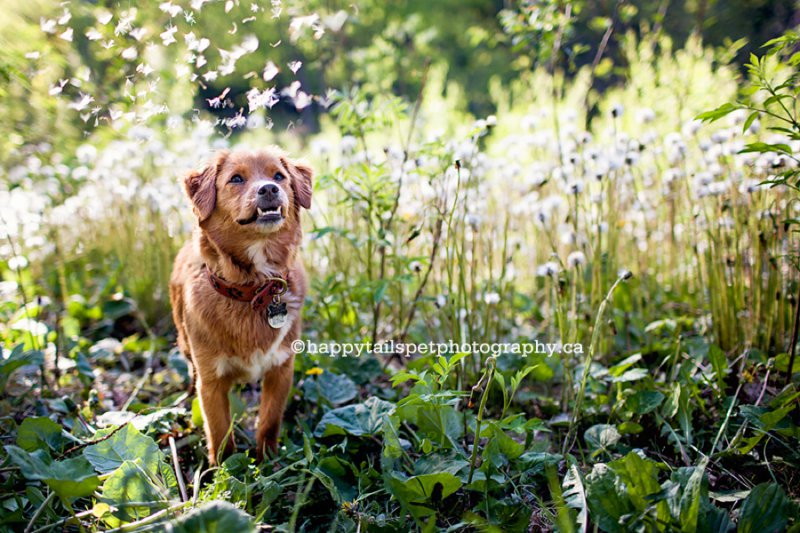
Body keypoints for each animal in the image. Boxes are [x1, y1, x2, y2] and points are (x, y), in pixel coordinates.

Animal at [170, 148, 312, 464]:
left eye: (279, 176)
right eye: (236, 179)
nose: (269, 189)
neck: (252, 290)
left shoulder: (281, 369)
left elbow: (269, 420)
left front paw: (268, 460)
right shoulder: (210, 381)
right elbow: (219, 430)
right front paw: (223, 468)